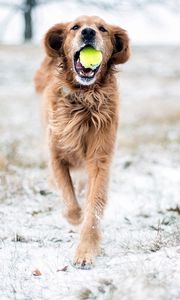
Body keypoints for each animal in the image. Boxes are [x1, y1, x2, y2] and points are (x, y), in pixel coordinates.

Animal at [34, 15, 129, 268]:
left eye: (103, 29)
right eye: (74, 27)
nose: (88, 32)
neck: (84, 98)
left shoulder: (100, 159)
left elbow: (94, 206)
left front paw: (86, 251)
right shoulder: (56, 155)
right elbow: (68, 196)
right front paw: (75, 217)